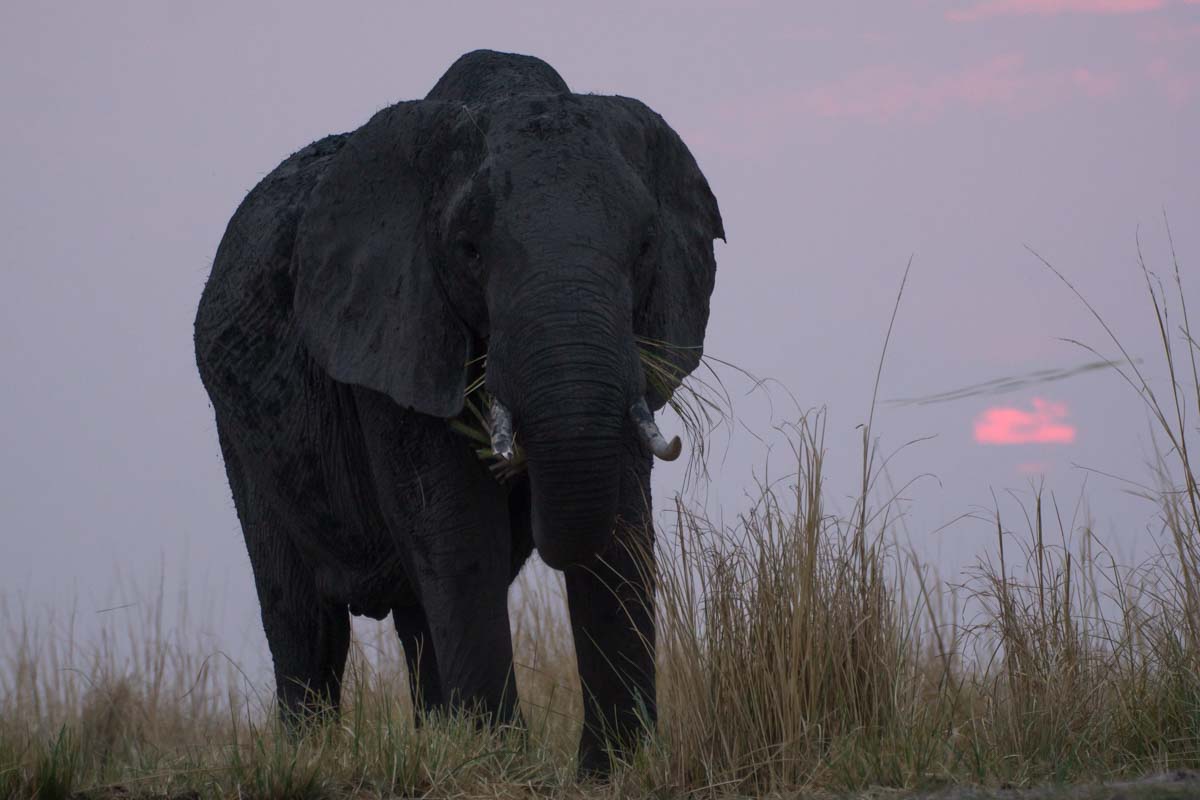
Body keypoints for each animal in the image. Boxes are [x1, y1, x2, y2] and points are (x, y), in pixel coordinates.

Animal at [194, 51, 720, 777]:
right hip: (241, 435)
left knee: (415, 616)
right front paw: (504, 770)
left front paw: (613, 772)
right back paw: (312, 756)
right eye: (469, 250)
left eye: (645, 247)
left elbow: (620, 525)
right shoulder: (395, 334)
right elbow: (462, 532)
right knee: (304, 621)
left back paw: (441, 738)